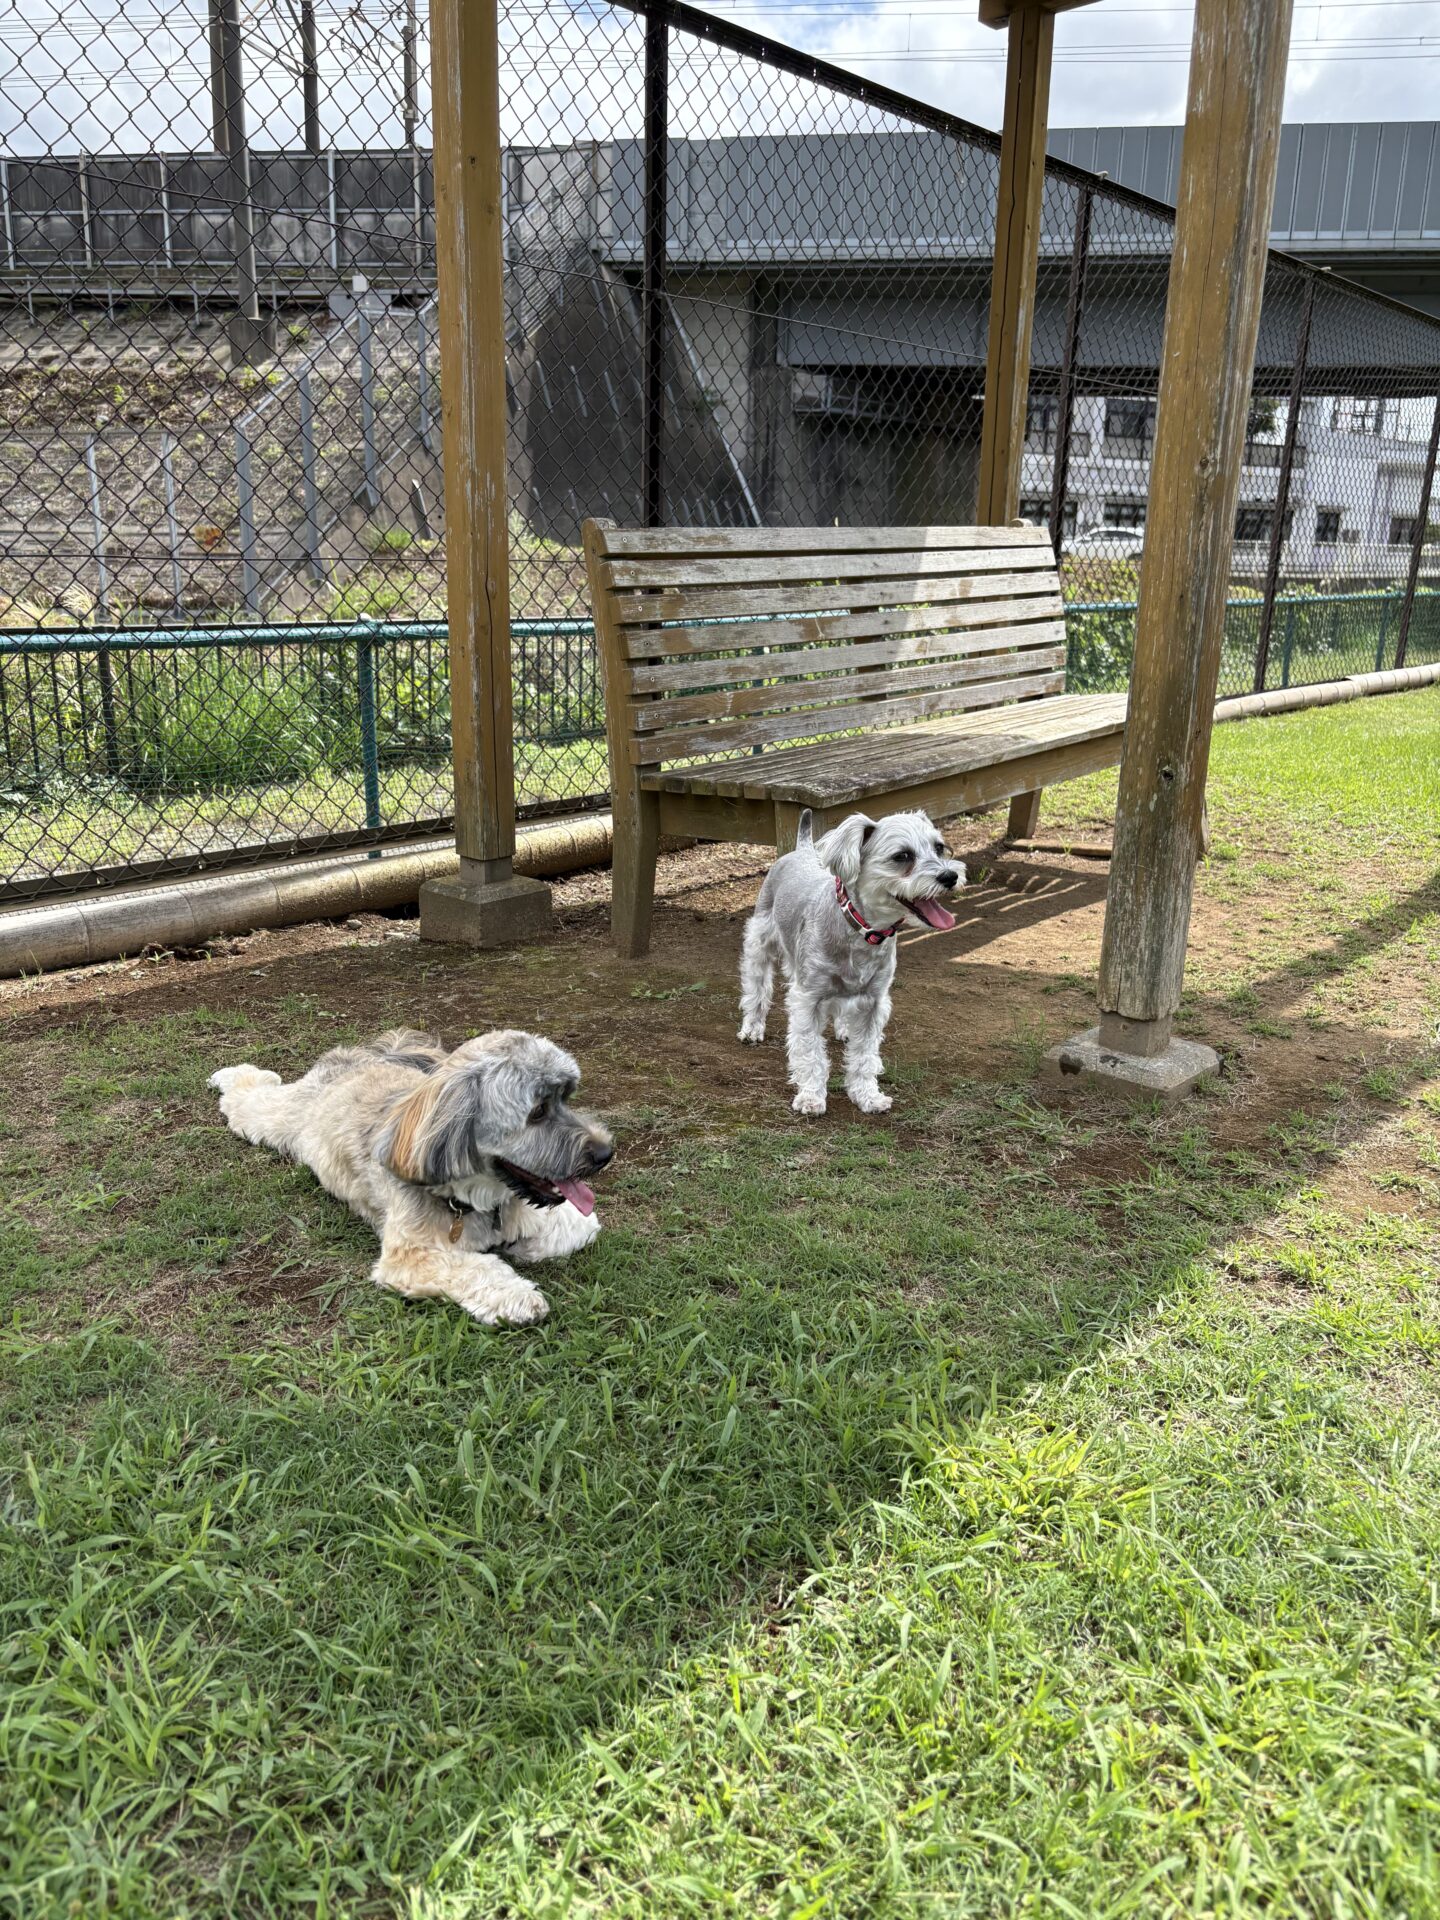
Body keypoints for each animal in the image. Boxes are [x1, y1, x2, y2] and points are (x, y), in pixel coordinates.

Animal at [209, 1028, 613, 1326]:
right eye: (538, 1111)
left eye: (565, 1098)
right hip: (274, 1118)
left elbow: (578, 1229)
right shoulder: (409, 1257)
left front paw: (518, 1247)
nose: (605, 1154)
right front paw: (517, 1295)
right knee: (250, 1093)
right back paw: (229, 1074)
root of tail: (362, 1058)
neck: (474, 1197)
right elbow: (474, 1267)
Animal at [738, 808, 963, 1115]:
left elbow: (864, 1056)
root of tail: (802, 848)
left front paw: (867, 1095)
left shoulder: (874, 1002)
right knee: (757, 989)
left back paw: (844, 1028)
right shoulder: (808, 998)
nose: (950, 875)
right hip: (760, 944)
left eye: (938, 847)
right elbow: (810, 1051)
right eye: (902, 855)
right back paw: (752, 1027)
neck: (862, 931)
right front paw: (811, 1096)